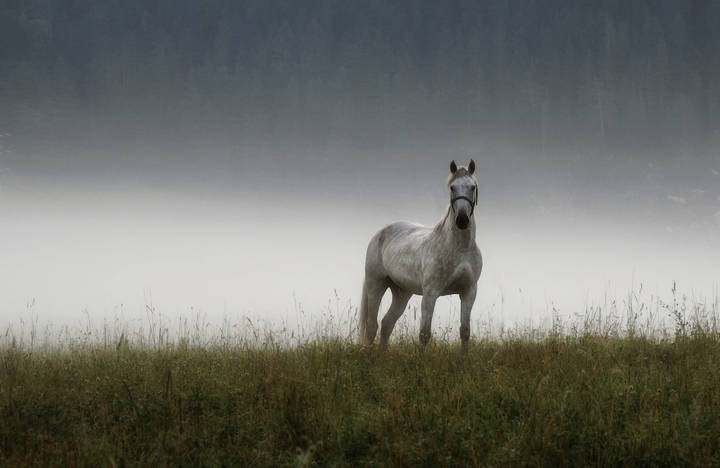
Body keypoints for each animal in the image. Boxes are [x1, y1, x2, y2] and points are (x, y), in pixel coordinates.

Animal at [359, 159, 483, 353]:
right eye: (452, 187)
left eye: (473, 187)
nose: (462, 220)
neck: (459, 249)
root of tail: (380, 232)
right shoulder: (431, 293)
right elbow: (424, 334)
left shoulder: (469, 292)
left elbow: (465, 332)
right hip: (376, 284)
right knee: (372, 327)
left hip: (402, 293)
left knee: (387, 324)